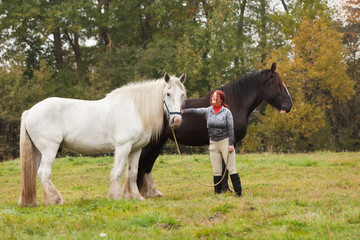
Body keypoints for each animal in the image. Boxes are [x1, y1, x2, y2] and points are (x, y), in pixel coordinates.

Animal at [18, 72, 187, 206]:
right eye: (168, 94)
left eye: (182, 95)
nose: (177, 121)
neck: (134, 109)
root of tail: (30, 111)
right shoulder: (123, 147)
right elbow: (118, 171)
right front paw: (115, 196)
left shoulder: (136, 149)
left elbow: (132, 172)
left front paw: (135, 197)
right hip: (49, 149)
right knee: (43, 173)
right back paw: (56, 200)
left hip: (37, 151)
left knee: (33, 173)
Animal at [137, 63, 292, 197]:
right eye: (278, 85)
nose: (289, 105)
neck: (235, 103)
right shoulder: (229, 141)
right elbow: (225, 166)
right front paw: (225, 190)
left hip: (158, 142)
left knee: (147, 164)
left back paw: (151, 193)